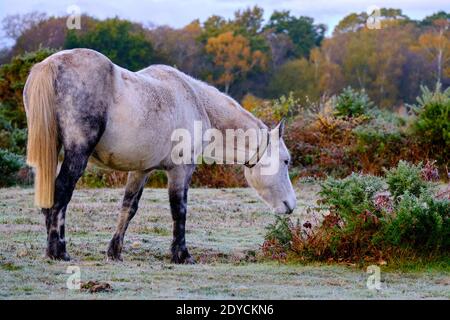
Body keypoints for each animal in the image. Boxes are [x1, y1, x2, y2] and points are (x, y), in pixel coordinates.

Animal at [23, 47, 296, 262]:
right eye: (286, 161)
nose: (290, 205)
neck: (194, 101)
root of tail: (50, 64)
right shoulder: (180, 170)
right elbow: (179, 209)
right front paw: (182, 255)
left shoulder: (140, 170)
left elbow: (128, 207)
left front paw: (115, 251)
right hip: (76, 154)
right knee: (61, 192)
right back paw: (58, 251)